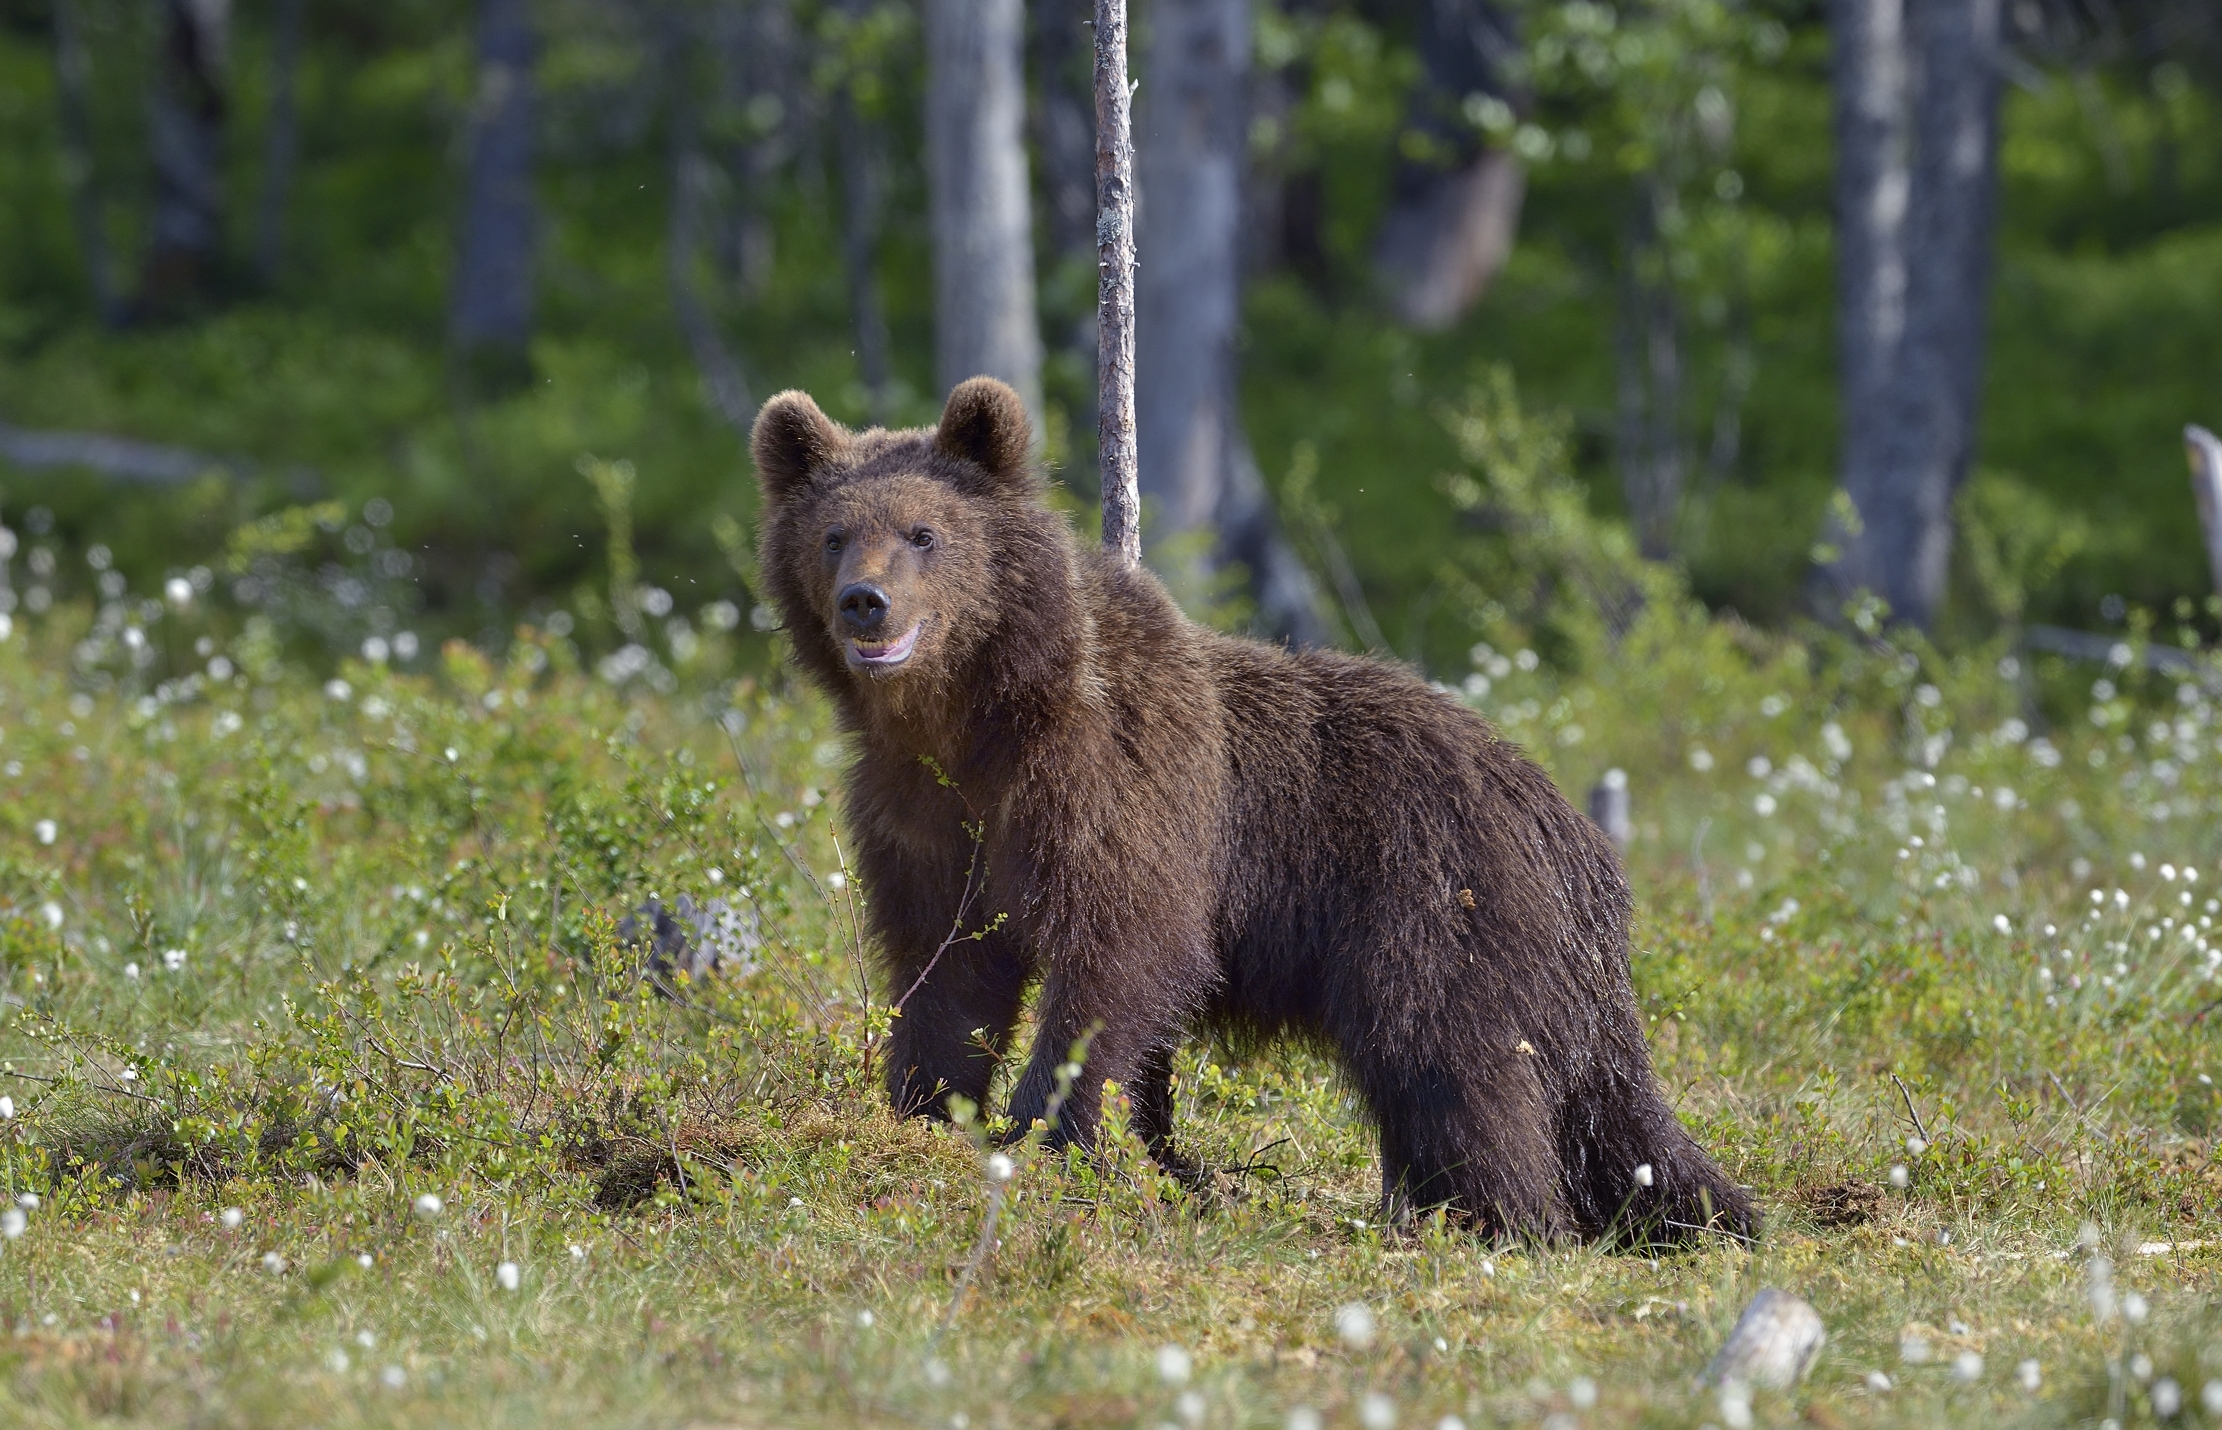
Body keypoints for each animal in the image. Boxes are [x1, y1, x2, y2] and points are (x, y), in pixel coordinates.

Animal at [751, 376, 1756, 1244]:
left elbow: (1121, 955)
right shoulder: (923, 812)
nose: (866, 602)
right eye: (834, 533)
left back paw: (1503, 1219)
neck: (973, 718)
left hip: (1440, 908)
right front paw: (924, 1110)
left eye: (924, 532)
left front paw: (1047, 1132)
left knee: (1457, 1070)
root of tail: (1574, 834)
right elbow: (947, 968)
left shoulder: (1116, 782)